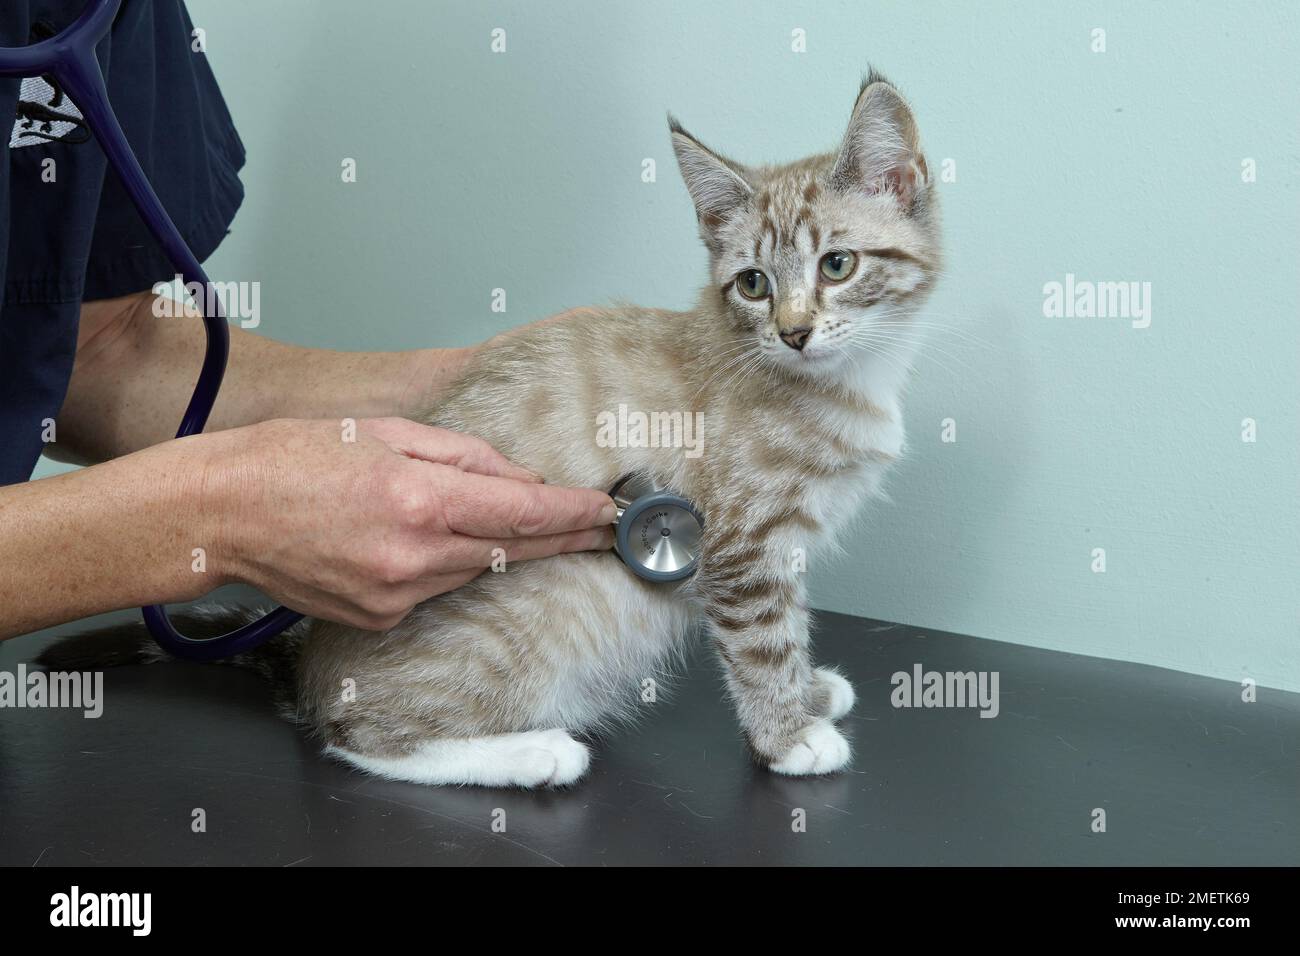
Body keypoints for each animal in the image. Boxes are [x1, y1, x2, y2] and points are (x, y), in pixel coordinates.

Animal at [40, 74, 941, 790]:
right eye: (754, 284)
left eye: (836, 266)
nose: (793, 332)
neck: (841, 384)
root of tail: (309, 664)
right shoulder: (742, 547)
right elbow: (761, 641)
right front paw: (787, 735)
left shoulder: (782, 549)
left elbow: (792, 625)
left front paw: (809, 692)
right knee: (350, 738)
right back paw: (529, 753)